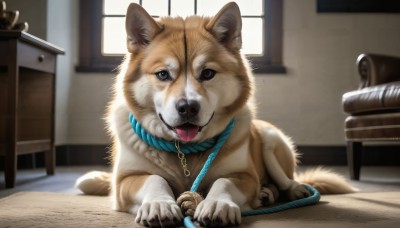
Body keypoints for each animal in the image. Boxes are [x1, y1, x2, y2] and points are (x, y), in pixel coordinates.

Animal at [76, 2, 356, 228]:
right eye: (163, 74)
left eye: (208, 73)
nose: (187, 107)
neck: (184, 153)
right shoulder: (125, 181)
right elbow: (154, 179)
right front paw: (159, 204)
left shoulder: (245, 176)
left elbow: (224, 182)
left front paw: (217, 204)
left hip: (270, 137)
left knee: (285, 178)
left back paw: (289, 190)